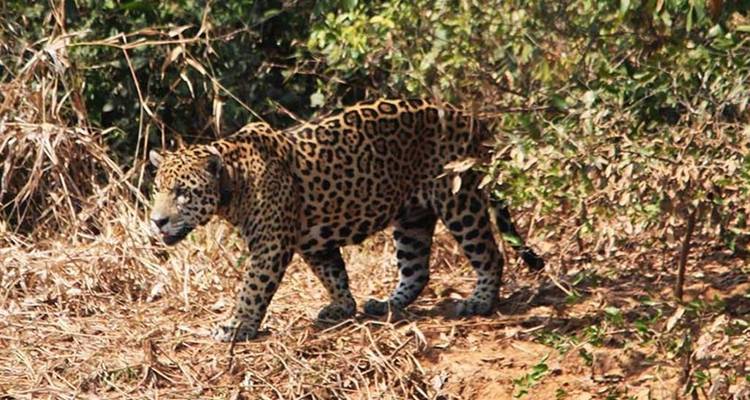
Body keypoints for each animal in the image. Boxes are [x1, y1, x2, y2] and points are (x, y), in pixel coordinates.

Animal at [148, 99, 544, 342]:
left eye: (183, 193)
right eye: (157, 189)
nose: (156, 221)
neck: (235, 180)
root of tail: (473, 119)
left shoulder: (270, 246)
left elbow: (253, 289)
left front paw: (236, 326)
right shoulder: (313, 242)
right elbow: (333, 274)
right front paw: (343, 307)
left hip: (459, 201)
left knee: (489, 254)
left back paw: (480, 302)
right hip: (412, 217)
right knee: (416, 269)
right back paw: (386, 304)